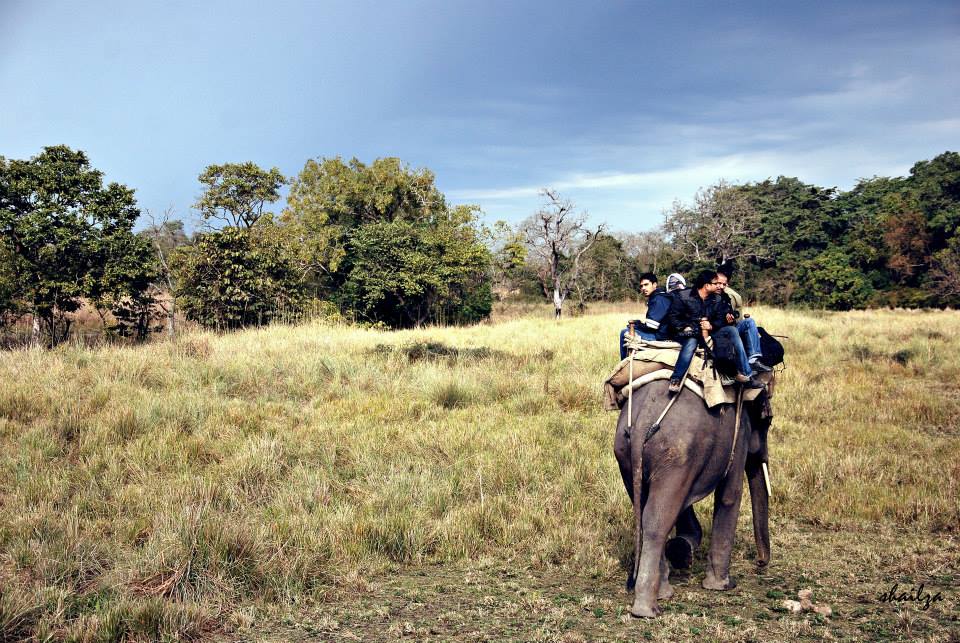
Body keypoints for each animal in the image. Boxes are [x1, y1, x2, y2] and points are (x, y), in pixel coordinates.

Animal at [613, 378, 771, 618]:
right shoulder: (740, 433)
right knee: (657, 521)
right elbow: (730, 494)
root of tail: (641, 425)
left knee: (647, 512)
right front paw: (723, 586)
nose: (760, 563)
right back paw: (648, 610)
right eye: (767, 422)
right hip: (676, 455)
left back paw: (662, 594)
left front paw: (683, 548)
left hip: (626, 453)